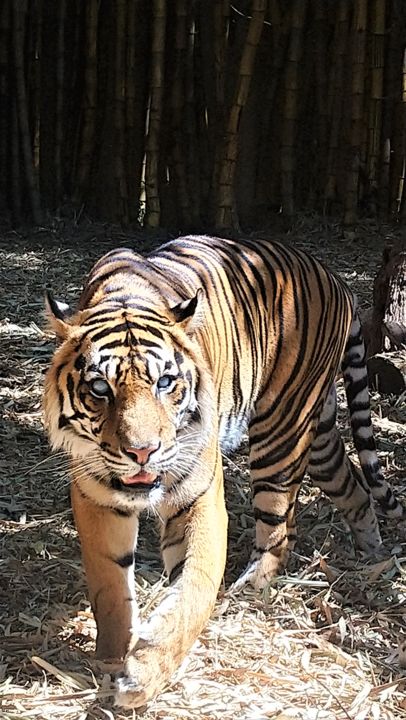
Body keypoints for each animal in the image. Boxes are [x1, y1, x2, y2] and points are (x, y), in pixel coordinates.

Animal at [44, 233, 402, 704]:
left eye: (164, 382)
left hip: (280, 433)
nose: (143, 452)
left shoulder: (199, 497)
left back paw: (250, 588)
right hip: (321, 436)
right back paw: (373, 555)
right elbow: (109, 585)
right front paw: (111, 656)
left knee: (279, 528)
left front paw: (145, 673)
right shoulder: (96, 495)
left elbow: (194, 588)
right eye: (100, 388)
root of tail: (337, 279)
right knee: (354, 488)